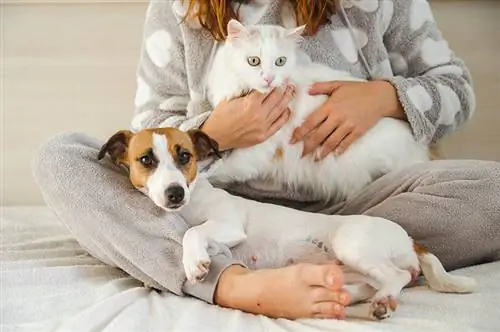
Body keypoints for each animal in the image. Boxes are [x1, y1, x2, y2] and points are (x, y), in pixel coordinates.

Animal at [97, 126, 476, 320]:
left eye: (185, 156)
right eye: (146, 160)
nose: (175, 193)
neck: (190, 204)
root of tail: (412, 240)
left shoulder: (230, 225)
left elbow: (194, 231)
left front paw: (195, 263)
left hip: (354, 245)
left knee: (396, 277)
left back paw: (382, 301)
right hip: (355, 270)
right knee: (373, 283)